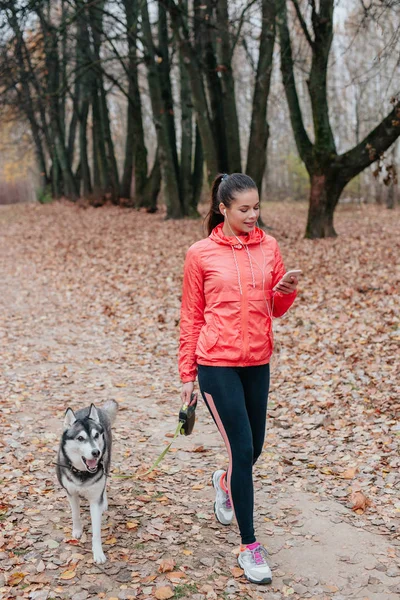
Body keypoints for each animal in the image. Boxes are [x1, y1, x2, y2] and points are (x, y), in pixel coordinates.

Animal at [57, 400, 118, 564]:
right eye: (80, 438)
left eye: (96, 435)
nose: (96, 452)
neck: (82, 473)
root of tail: (100, 409)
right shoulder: (71, 493)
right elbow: (75, 514)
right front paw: (77, 530)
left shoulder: (95, 499)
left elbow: (96, 532)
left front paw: (98, 553)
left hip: (107, 461)